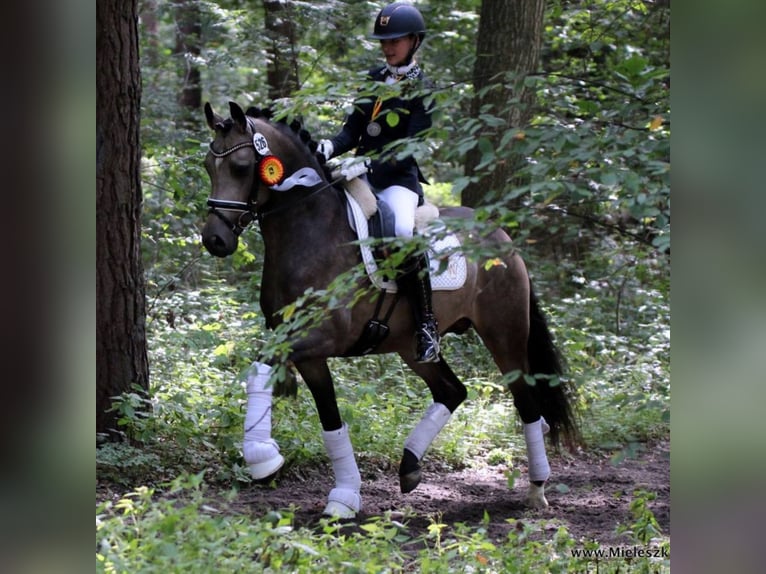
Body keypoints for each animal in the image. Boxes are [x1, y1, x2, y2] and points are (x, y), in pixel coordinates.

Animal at [200, 101, 579, 518]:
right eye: (208, 165)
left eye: (240, 167)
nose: (215, 239)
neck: (311, 231)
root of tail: (502, 237)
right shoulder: (306, 351)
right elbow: (329, 418)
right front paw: (343, 496)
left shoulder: (321, 337)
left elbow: (260, 368)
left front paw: (262, 457)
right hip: (410, 346)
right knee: (452, 391)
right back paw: (410, 466)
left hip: (504, 335)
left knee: (527, 403)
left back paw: (537, 489)